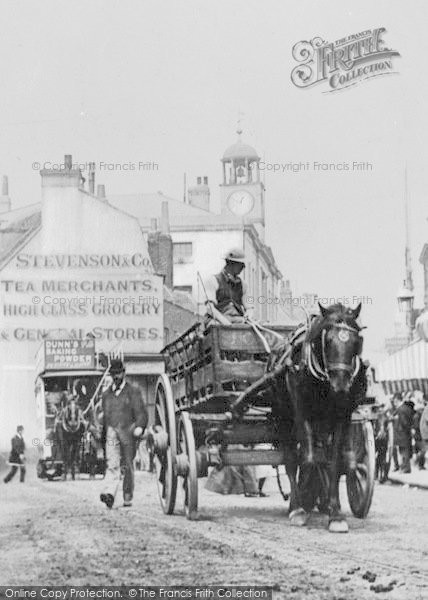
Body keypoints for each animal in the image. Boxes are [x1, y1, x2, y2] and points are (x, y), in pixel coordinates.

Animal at [282, 302, 366, 532]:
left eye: (356, 342)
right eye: (327, 341)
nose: (341, 387)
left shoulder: (342, 417)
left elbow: (334, 463)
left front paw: (335, 513)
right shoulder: (302, 414)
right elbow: (308, 459)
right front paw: (301, 504)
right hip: (284, 420)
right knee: (291, 460)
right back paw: (297, 505)